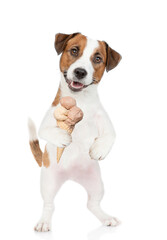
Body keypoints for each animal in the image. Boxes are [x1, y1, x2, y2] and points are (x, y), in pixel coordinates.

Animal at [27, 32, 121, 232]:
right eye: (74, 50)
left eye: (97, 58)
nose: (80, 72)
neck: (80, 101)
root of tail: (71, 175)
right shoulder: (47, 122)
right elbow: (47, 130)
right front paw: (63, 137)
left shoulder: (104, 119)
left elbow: (111, 134)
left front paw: (99, 149)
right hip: (48, 183)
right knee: (49, 204)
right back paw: (44, 222)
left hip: (96, 184)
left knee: (92, 204)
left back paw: (106, 218)